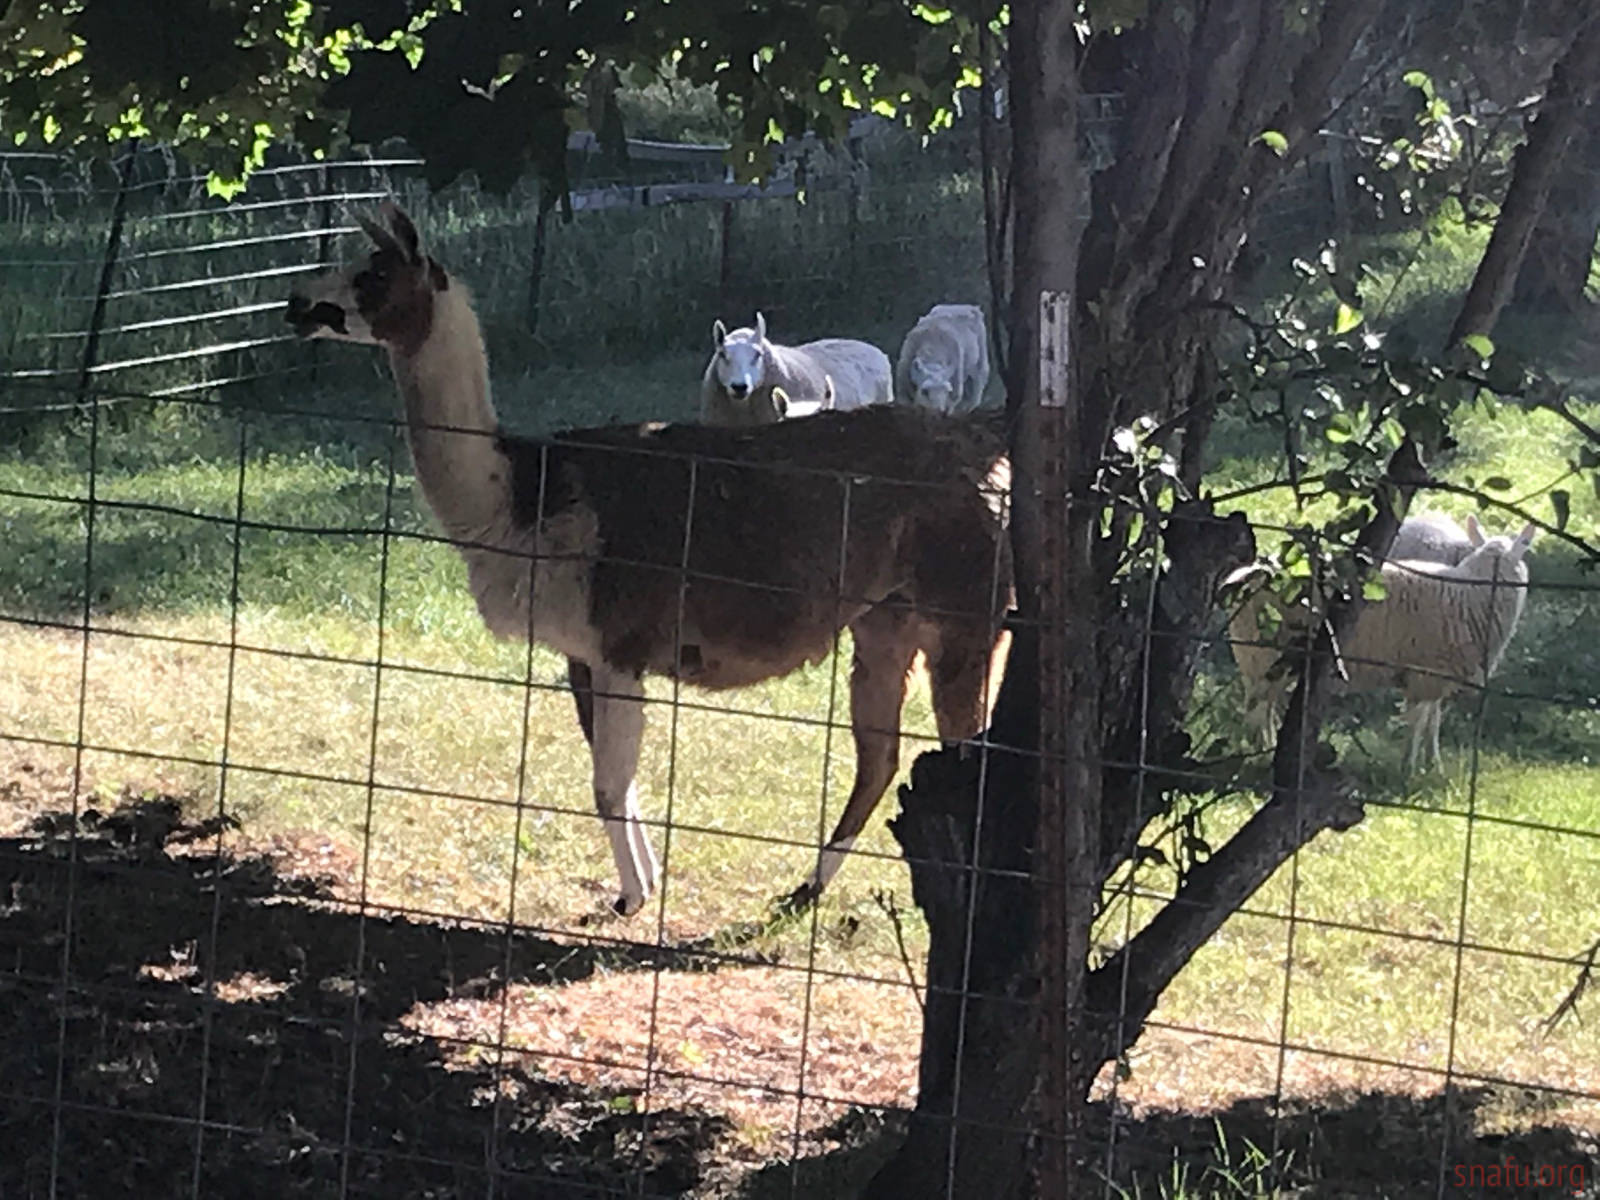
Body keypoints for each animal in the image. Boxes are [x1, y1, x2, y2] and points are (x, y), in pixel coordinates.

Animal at [1222, 518, 1536, 771]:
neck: (1471, 594)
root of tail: (1246, 577)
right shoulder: (1424, 672)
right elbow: (1419, 722)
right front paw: (1408, 769)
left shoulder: (1436, 674)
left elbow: (1432, 722)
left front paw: (1432, 765)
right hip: (1263, 653)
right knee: (1256, 708)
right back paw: (1258, 757)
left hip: (1267, 659)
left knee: (1263, 706)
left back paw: (1265, 750)